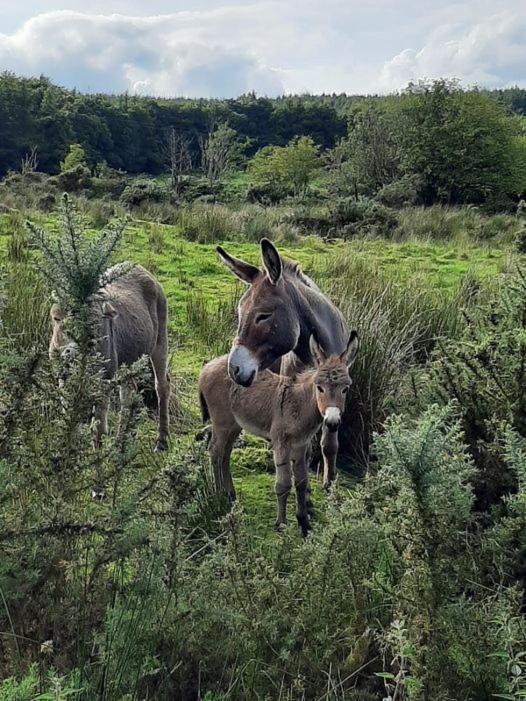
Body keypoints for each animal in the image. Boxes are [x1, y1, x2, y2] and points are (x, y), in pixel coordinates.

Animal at [200, 330, 360, 532]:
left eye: (345, 389)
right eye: (320, 388)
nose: (332, 423)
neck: (300, 403)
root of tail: (208, 366)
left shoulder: (301, 445)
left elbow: (301, 482)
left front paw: (304, 522)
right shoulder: (280, 443)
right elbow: (283, 484)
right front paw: (281, 524)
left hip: (234, 424)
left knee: (225, 454)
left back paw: (230, 494)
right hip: (222, 422)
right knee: (215, 452)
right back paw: (219, 495)